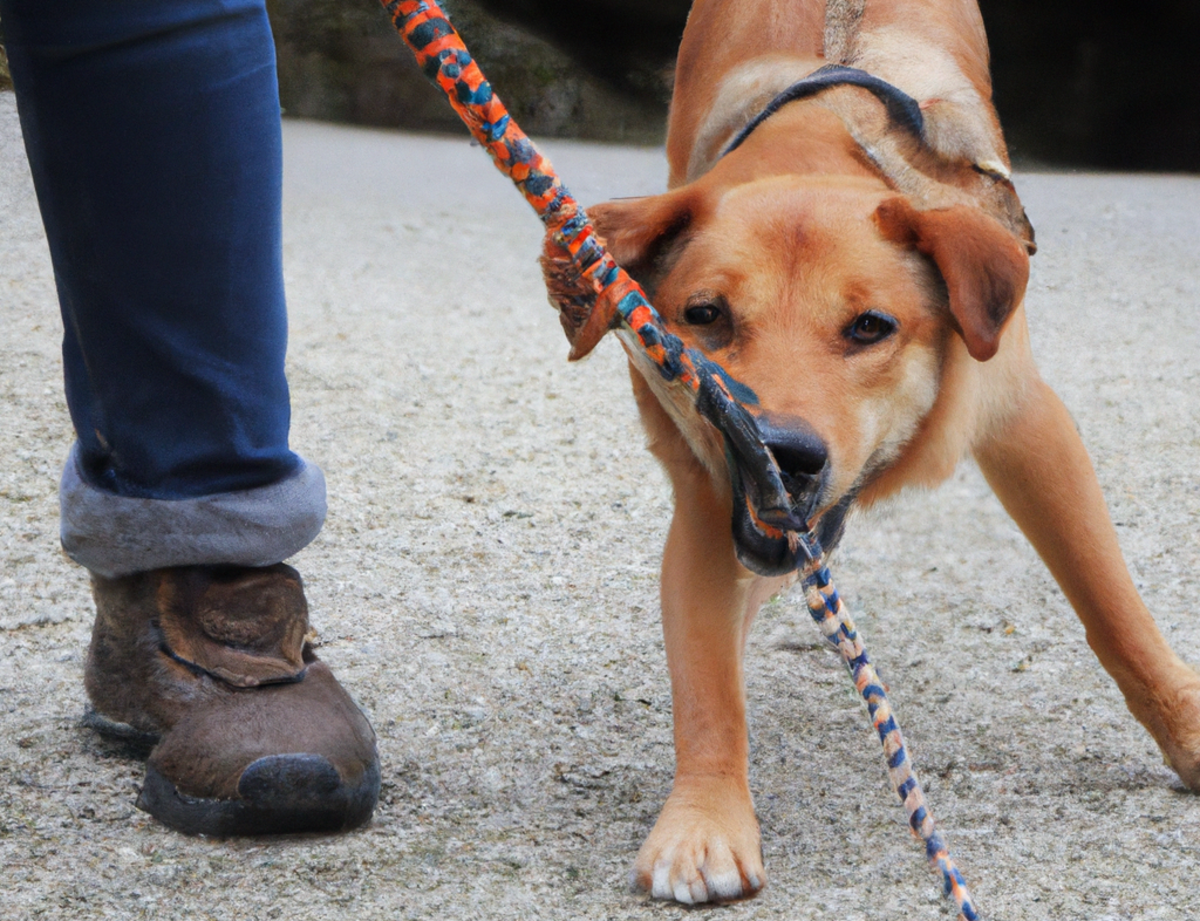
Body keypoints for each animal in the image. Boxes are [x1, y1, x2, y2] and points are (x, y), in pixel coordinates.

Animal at [547, 0, 1200, 906]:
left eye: (869, 326)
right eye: (705, 314)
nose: (781, 451)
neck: (822, 127)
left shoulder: (1027, 423)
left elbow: (1111, 604)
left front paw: (1188, 731)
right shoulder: (713, 499)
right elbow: (708, 684)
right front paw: (705, 817)